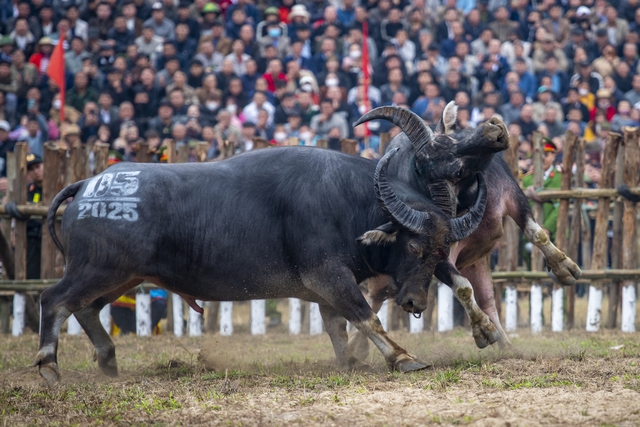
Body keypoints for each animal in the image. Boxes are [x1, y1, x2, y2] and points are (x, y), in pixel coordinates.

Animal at [33, 146, 490, 382]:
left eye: (440, 251)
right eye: (412, 247)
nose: (414, 303)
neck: (350, 200)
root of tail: (88, 184)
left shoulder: (326, 286)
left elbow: (338, 326)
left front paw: (350, 362)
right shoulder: (327, 275)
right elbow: (365, 317)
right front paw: (402, 357)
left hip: (121, 277)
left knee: (85, 308)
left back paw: (108, 361)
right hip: (97, 270)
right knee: (54, 299)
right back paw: (50, 366)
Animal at [358, 103, 584, 348]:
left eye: (449, 140)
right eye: (457, 171)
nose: (493, 130)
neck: (470, 196)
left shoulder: (513, 195)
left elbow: (536, 233)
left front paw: (564, 267)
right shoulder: (436, 250)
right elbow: (462, 287)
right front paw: (482, 329)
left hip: (478, 264)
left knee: (488, 300)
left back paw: (507, 347)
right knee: (373, 301)